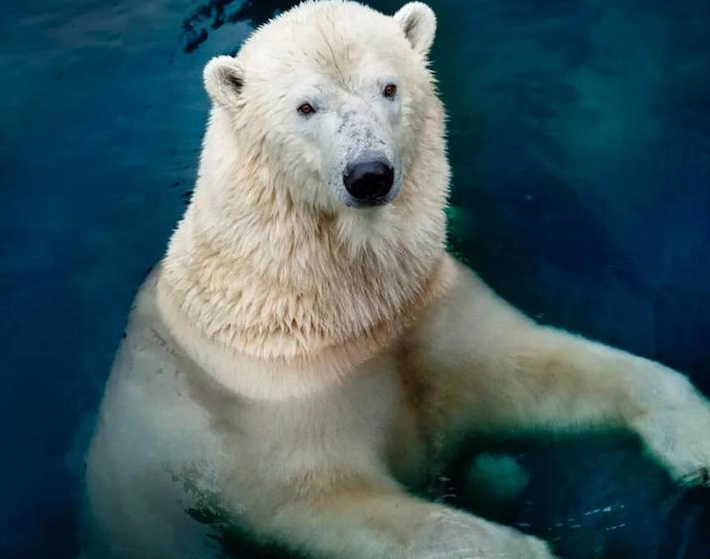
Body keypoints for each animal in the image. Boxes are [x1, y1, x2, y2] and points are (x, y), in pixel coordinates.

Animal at [83, 1, 710, 558]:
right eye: (305, 106)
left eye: (388, 88)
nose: (369, 175)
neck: (342, 309)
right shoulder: (269, 399)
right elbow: (319, 499)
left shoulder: (424, 307)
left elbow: (532, 368)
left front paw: (691, 437)